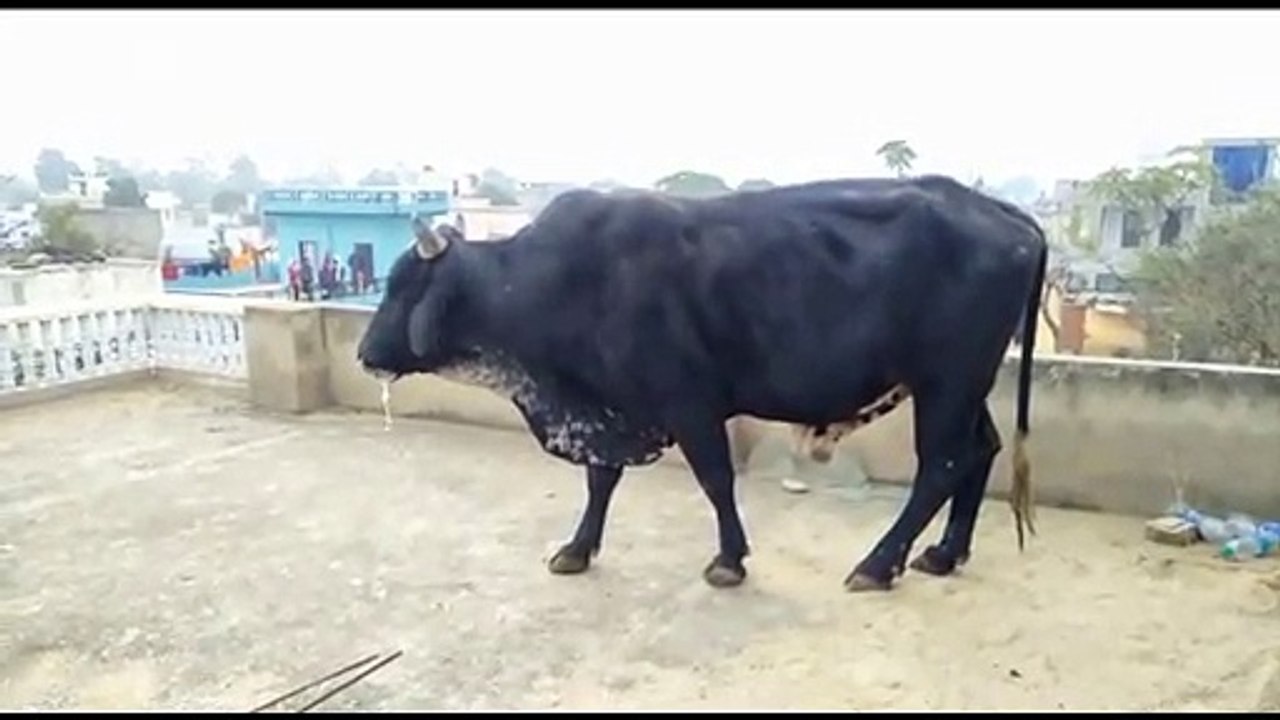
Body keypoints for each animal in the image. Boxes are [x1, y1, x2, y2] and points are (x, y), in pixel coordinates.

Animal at [356, 175, 1048, 593]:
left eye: (402, 286)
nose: (364, 353)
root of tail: (1003, 214)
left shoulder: (687, 401)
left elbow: (715, 479)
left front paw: (728, 559)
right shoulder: (613, 406)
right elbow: (601, 480)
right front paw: (577, 549)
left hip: (946, 380)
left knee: (942, 464)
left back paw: (879, 564)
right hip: (964, 385)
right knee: (980, 451)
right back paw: (943, 553)